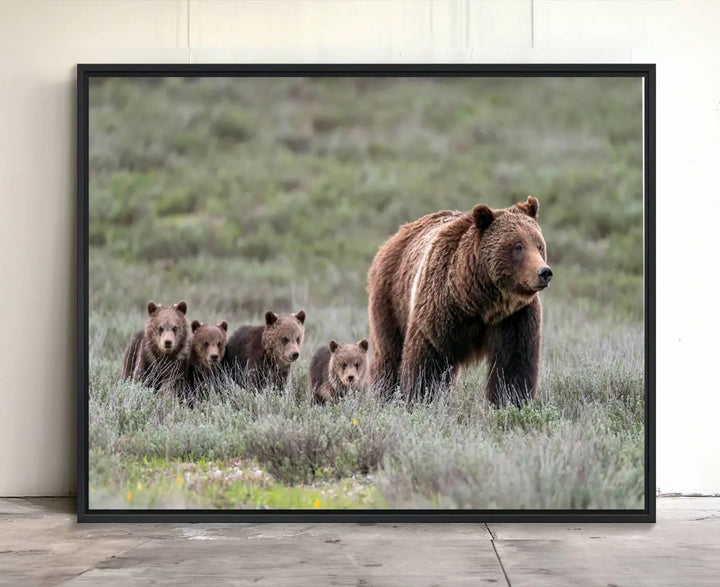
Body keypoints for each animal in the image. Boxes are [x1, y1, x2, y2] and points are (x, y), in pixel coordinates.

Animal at [368, 195, 556, 406]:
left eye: (539, 245)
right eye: (518, 246)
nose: (544, 272)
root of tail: (396, 235)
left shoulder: (514, 316)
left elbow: (514, 363)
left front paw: (511, 401)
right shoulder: (439, 307)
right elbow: (427, 359)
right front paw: (421, 399)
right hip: (392, 297)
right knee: (389, 353)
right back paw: (383, 395)